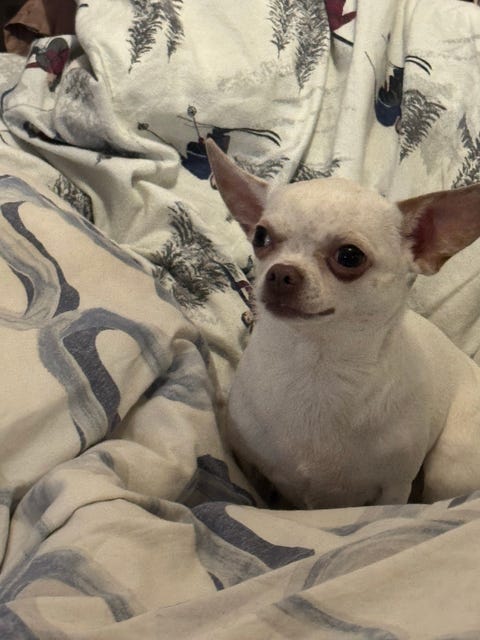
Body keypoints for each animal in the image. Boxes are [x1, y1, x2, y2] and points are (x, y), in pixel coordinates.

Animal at [206, 138, 480, 509]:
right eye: (261, 237)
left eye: (349, 256)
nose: (281, 273)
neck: (316, 367)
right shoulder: (249, 465)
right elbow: (261, 496)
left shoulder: (394, 488)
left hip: (448, 469)